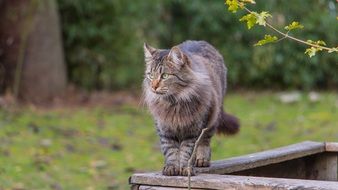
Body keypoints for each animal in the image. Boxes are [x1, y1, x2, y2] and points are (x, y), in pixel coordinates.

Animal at [143, 40, 240, 176]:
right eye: (151, 75)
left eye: (165, 76)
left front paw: (185, 168)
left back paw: (202, 160)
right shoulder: (164, 128)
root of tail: (201, 42)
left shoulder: (193, 131)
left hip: (212, 118)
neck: (174, 103)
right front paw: (171, 168)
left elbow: (187, 151)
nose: (154, 86)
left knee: (205, 141)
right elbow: (170, 150)